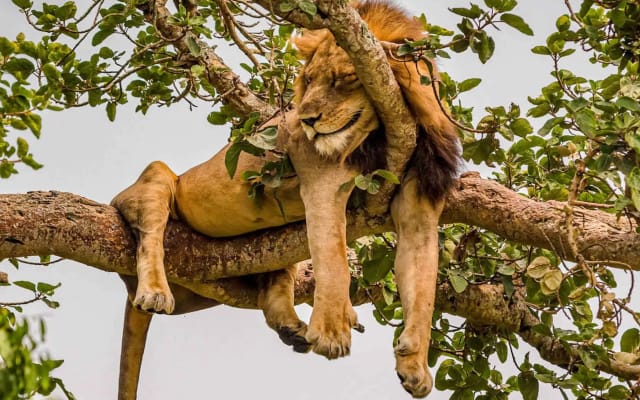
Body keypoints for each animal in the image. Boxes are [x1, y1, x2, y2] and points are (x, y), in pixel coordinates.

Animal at [111, 1, 460, 399]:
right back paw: (155, 292)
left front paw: (414, 364)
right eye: (308, 79)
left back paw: (293, 328)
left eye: (343, 79)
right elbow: (334, 258)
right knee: (150, 236)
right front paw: (331, 331)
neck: (383, 133)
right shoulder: (321, 180)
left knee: (273, 287)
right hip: (157, 178)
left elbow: (423, 284)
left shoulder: (419, 201)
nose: (306, 120)